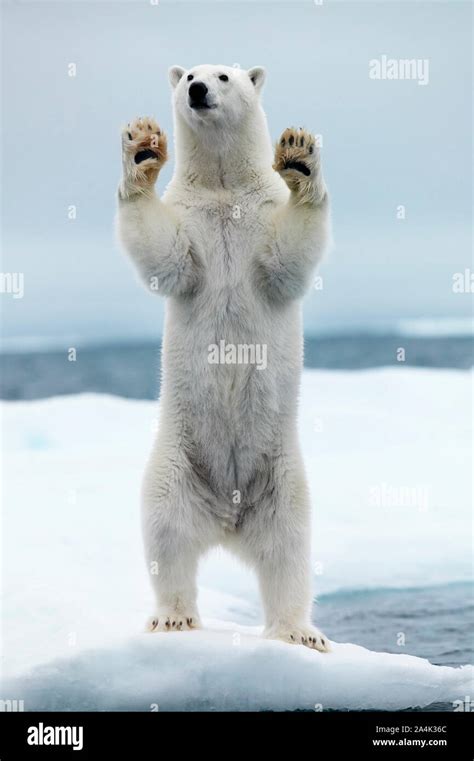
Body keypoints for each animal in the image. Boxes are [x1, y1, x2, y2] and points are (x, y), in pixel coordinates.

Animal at [118, 62, 332, 652]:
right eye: (189, 73)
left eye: (224, 76)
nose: (196, 90)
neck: (222, 189)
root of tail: (228, 519)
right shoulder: (190, 223)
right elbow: (165, 257)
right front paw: (141, 149)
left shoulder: (261, 217)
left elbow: (287, 260)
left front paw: (301, 155)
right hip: (176, 462)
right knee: (166, 534)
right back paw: (173, 617)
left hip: (282, 477)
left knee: (289, 550)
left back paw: (298, 631)